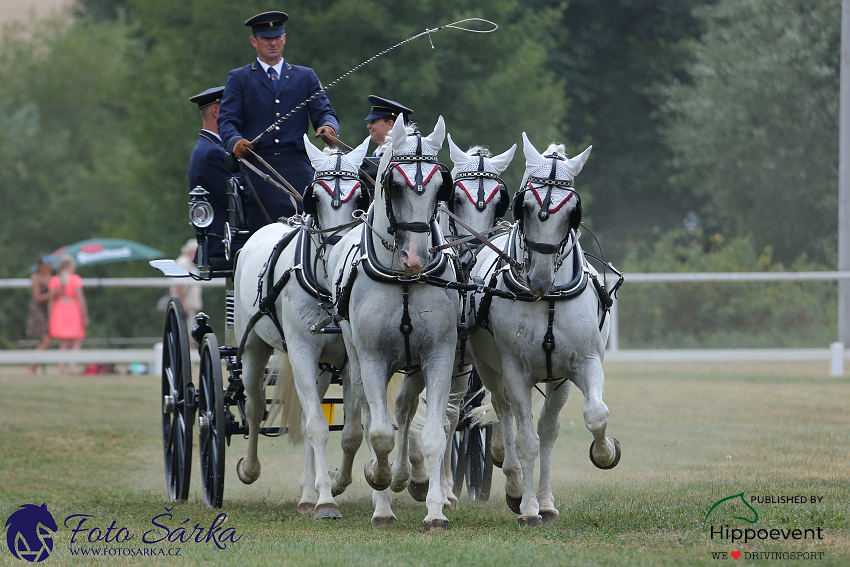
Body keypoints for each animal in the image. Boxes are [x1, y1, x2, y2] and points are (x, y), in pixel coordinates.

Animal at [230, 133, 370, 520]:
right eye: (315, 197)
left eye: (359, 196)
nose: (338, 248)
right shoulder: (302, 352)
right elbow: (317, 426)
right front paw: (326, 502)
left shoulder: (350, 359)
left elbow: (350, 430)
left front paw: (335, 483)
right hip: (253, 347)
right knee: (254, 406)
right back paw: (251, 470)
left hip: (321, 366)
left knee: (309, 414)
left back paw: (308, 491)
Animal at [324, 116, 460, 532]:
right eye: (395, 185)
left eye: (440, 185)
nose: (416, 257)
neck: (403, 281)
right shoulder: (372, 359)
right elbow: (380, 433)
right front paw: (377, 484)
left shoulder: (438, 355)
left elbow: (431, 434)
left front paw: (434, 510)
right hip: (356, 359)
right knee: (371, 416)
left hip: (412, 366)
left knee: (403, 409)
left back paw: (404, 476)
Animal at [468, 133, 620, 528]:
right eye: (524, 205)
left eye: (572, 211)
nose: (538, 279)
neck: (548, 298)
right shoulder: (516, 372)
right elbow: (527, 440)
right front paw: (529, 508)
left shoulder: (579, 365)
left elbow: (589, 417)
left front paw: (603, 453)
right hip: (489, 369)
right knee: (504, 413)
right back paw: (513, 482)